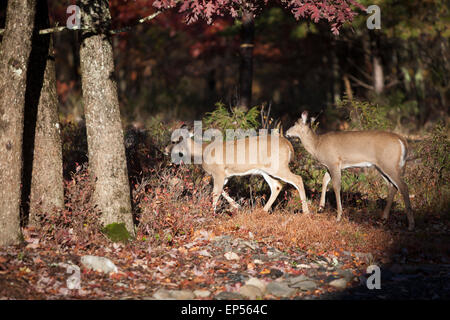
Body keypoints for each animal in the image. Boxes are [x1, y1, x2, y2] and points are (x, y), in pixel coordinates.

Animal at [165, 126, 310, 214]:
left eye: (174, 141)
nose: (165, 150)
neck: (202, 152)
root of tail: (288, 145)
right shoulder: (226, 175)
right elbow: (222, 191)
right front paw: (237, 206)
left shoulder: (218, 172)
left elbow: (215, 192)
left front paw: (212, 213)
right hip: (266, 170)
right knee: (277, 186)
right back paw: (262, 211)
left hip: (278, 167)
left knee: (298, 179)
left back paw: (306, 212)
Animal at [286, 112, 414, 230]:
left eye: (294, 123)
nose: (286, 133)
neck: (317, 145)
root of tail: (402, 140)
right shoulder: (330, 165)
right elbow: (325, 180)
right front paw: (320, 208)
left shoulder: (333, 162)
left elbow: (336, 186)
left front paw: (338, 216)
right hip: (381, 166)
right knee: (392, 186)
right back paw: (384, 218)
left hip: (389, 164)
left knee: (403, 186)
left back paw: (410, 225)